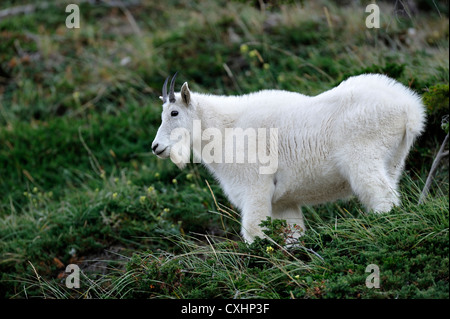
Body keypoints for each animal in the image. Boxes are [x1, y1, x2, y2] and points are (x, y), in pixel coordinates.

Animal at [151, 74, 426, 244]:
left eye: (174, 113)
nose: (156, 147)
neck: (225, 129)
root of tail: (410, 109)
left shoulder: (255, 187)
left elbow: (253, 231)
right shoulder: (284, 201)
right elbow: (292, 234)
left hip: (364, 158)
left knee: (382, 197)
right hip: (393, 160)